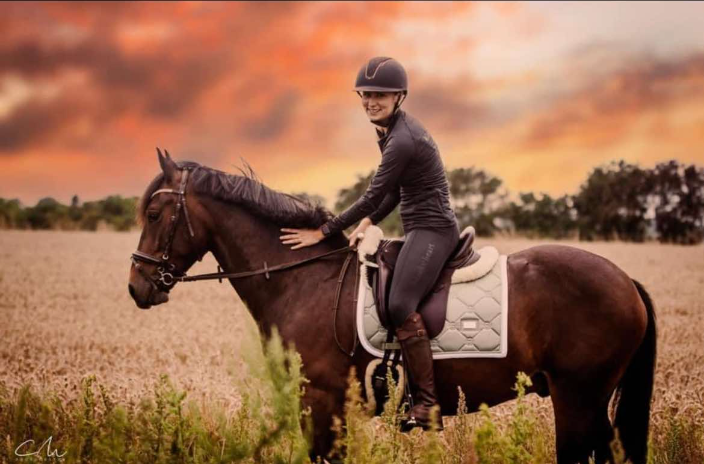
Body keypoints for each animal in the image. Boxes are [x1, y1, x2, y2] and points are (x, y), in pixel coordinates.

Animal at [129, 150, 656, 462]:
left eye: (154, 214)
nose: (138, 286)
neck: (303, 280)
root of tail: (625, 280)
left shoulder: (320, 401)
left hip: (577, 398)